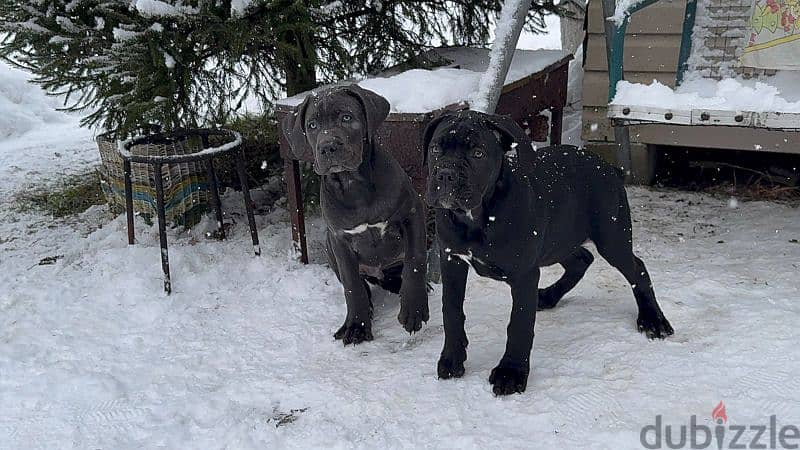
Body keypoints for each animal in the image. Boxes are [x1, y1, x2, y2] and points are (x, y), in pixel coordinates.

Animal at [282, 84, 428, 344]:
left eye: (347, 118)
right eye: (312, 125)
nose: (327, 146)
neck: (354, 185)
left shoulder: (411, 214)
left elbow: (415, 261)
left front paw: (414, 309)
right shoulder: (339, 239)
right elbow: (352, 285)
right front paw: (356, 325)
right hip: (329, 247)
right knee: (363, 284)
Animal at [424, 110, 676, 396]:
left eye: (478, 153)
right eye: (435, 149)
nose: (446, 175)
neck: (477, 218)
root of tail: (609, 168)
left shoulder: (524, 274)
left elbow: (519, 323)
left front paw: (511, 373)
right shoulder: (452, 259)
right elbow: (452, 311)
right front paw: (452, 359)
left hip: (611, 238)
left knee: (636, 268)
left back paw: (653, 320)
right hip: (557, 239)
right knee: (582, 259)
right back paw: (548, 296)